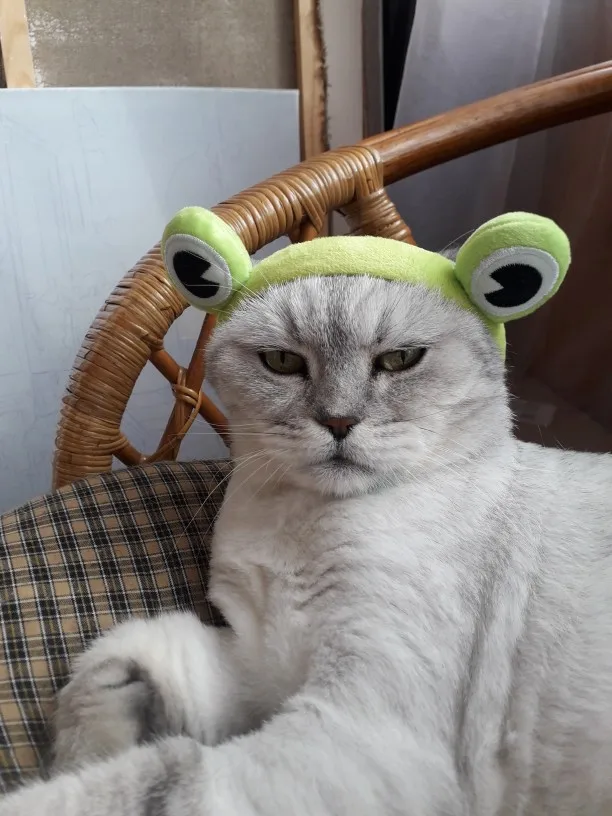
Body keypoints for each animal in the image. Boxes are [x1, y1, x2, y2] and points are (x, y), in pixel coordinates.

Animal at [2, 274, 612, 816]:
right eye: (282, 362)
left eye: (399, 360)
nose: (338, 421)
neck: (297, 520)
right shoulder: (259, 666)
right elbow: (115, 658)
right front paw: (84, 749)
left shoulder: (353, 727)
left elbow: (149, 778)